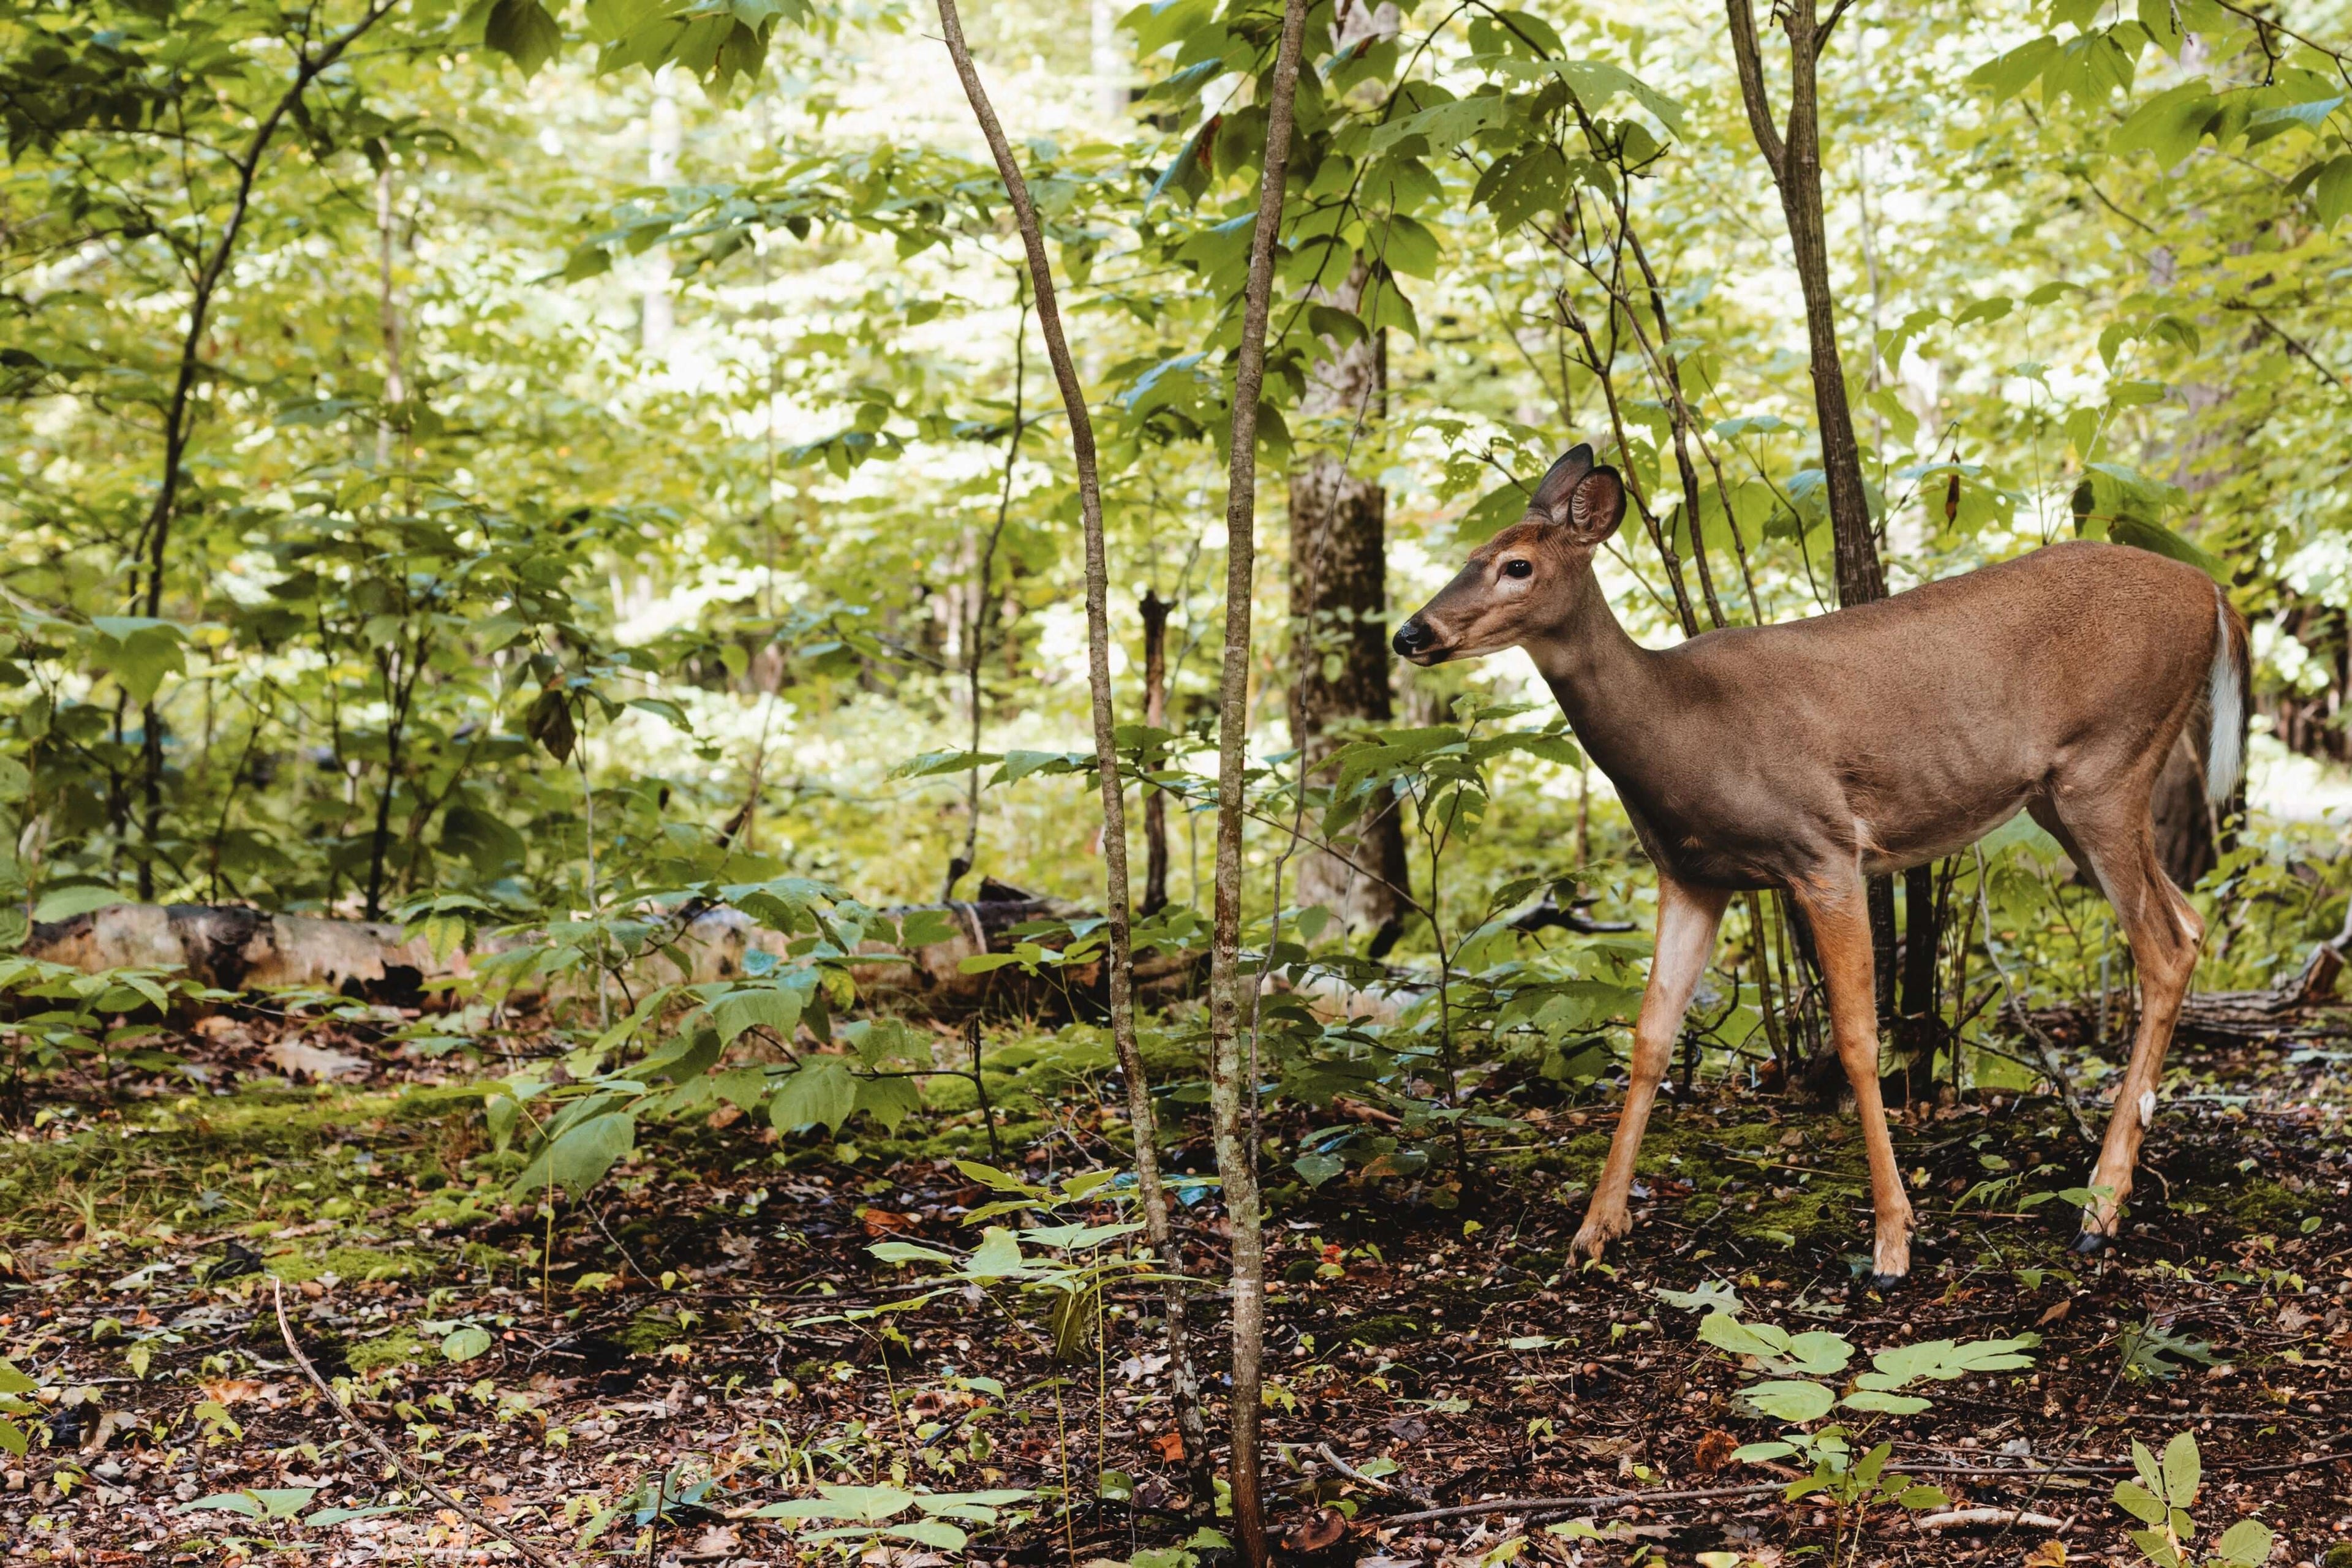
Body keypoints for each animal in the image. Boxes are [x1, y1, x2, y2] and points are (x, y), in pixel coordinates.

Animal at [1392, 443, 2248, 1286]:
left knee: (2162, 949)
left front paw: (1894, 1243)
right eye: (1471, 555)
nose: (1412, 633)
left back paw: (2099, 1212)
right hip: (2064, 796)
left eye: (1518, 566)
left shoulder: (1825, 848)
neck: (1680, 728)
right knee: (2190, 922)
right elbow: (1649, 1040)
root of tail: (2213, 591)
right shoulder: (1691, 874)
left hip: (2107, 764)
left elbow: (1859, 1039)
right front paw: (1593, 1232)